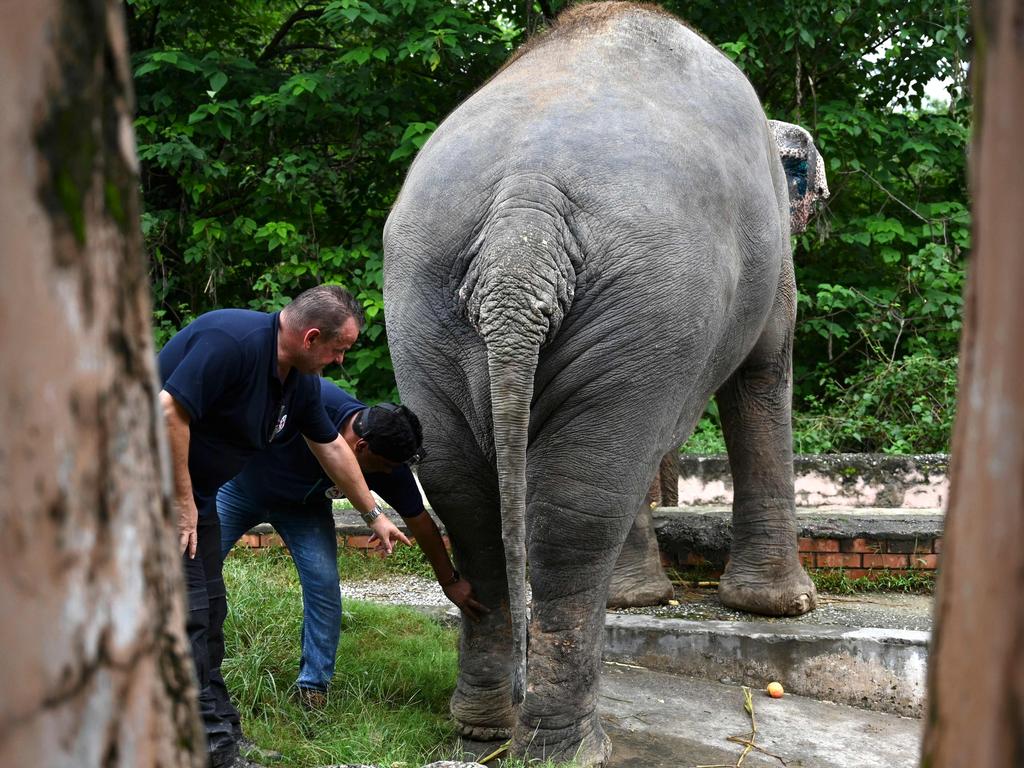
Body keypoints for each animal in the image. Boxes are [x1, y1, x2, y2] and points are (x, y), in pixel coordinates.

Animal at [385, 3, 831, 765]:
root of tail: (523, 218)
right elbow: (764, 371)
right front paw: (781, 608)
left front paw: (636, 601)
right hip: (648, 290)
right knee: (580, 504)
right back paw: (572, 747)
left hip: (427, 294)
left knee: (467, 495)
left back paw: (486, 726)